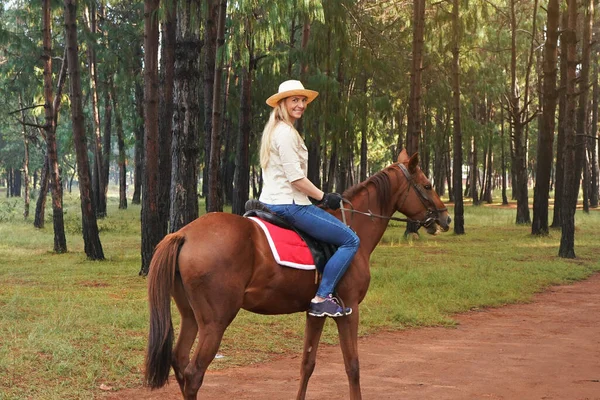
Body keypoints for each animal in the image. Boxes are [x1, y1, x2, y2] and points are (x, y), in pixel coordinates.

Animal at [145, 150, 450, 400]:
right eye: (427, 185)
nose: (445, 218)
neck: (355, 228)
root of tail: (184, 234)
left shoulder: (315, 313)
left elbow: (307, 363)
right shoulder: (349, 310)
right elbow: (352, 365)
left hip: (191, 316)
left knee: (180, 361)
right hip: (215, 321)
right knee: (194, 373)